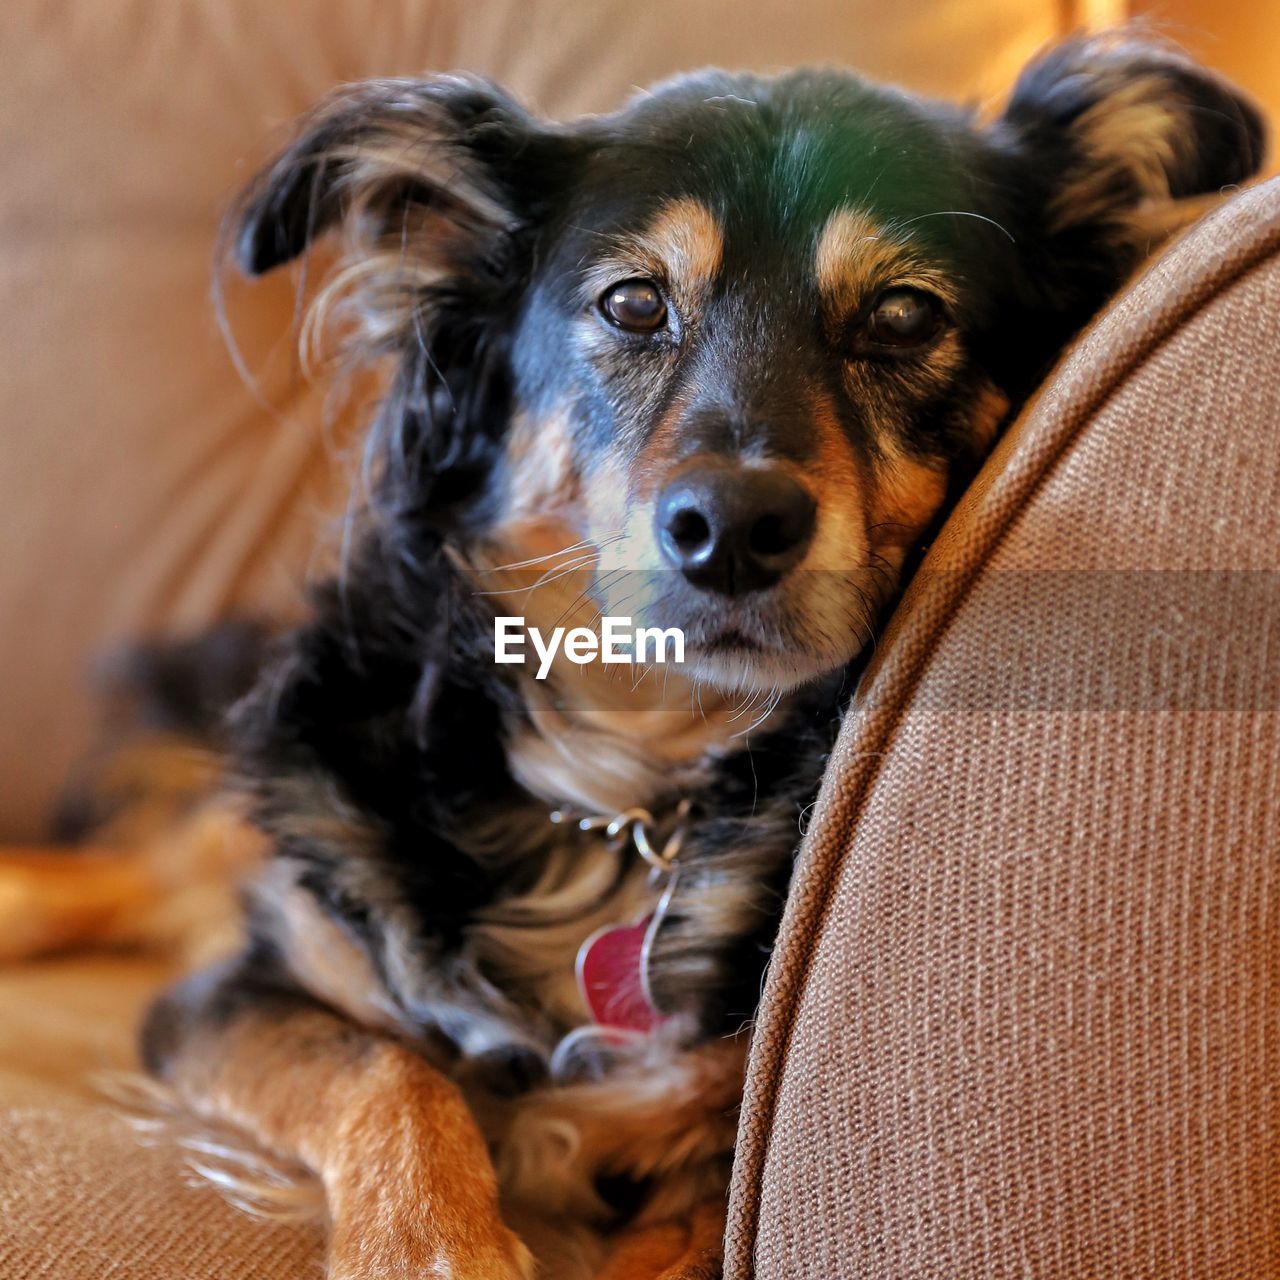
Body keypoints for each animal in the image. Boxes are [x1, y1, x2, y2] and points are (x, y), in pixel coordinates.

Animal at [0, 30, 1259, 1280]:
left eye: (903, 317)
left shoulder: (707, 1145)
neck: (626, 795)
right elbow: (386, 1070)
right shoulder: (240, 987)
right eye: (633, 302)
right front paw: (433, 1246)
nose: (731, 527)